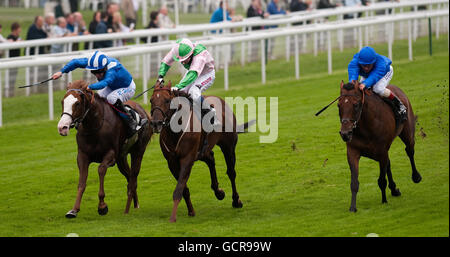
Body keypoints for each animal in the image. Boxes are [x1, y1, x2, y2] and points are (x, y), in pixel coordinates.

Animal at [55, 79, 151, 216]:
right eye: (62, 102)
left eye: (77, 103)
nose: (62, 127)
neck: (95, 126)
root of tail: (144, 113)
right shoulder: (82, 156)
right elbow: (82, 182)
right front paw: (74, 210)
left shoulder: (110, 155)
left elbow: (101, 170)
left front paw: (102, 206)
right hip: (121, 158)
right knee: (129, 177)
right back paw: (134, 203)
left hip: (138, 152)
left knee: (133, 177)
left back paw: (129, 207)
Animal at [150, 80, 250, 222]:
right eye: (151, 100)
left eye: (167, 100)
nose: (156, 123)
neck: (176, 130)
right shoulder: (172, 162)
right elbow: (183, 188)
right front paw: (191, 211)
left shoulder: (187, 159)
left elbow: (179, 188)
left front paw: (173, 217)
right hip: (203, 151)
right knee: (211, 159)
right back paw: (218, 192)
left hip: (228, 146)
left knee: (231, 172)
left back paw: (236, 201)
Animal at [340, 80, 420, 212]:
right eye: (339, 105)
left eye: (355, 105)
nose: (345, 134)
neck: (366, 127)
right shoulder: (353, 151)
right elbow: (354, 182)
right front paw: (352, 207)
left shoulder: (382, 151)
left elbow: (382, 180)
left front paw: (384, 201)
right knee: (389, 163)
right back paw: (394, 189)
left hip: (407, 132)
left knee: (410, 150)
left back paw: (416, 176)